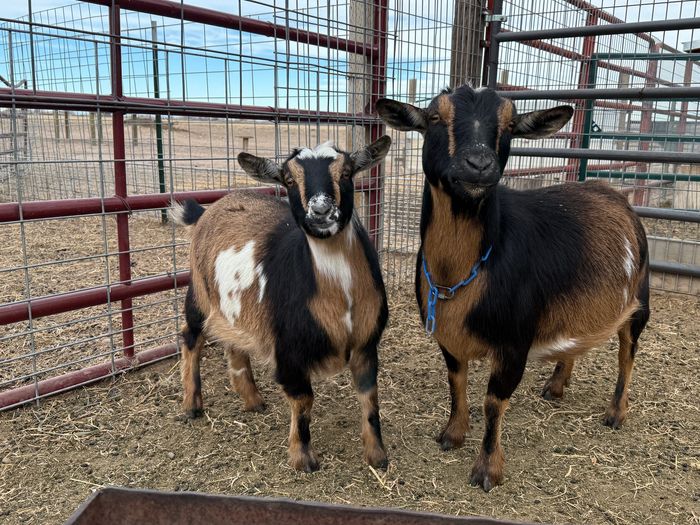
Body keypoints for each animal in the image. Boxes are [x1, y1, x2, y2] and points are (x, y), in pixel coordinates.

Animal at [171, 136, 392, 472]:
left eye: (346, 173)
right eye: (288, 179)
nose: (321, 211)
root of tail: (208, 211)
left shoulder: (367, 342)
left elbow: (369, 397)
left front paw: (377, 456)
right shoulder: (288, 349)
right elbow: (303, 400)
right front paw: (303, 458)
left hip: (234, 306)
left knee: (234, 342)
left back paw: (253, 400)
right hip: (198, 292)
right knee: (190, 337)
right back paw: (191, 405)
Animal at [376, 85, 650, 491]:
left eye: (508, 125)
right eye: (435, 117)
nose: (478, 164)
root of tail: (616, 195)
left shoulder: (515, 342)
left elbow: (493, 402)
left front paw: (487, 470)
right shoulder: (448, 338)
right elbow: (456, 383)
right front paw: (452, 434)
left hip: (639, 298)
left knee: (627, 354)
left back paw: (616, 413)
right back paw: (556, 386)